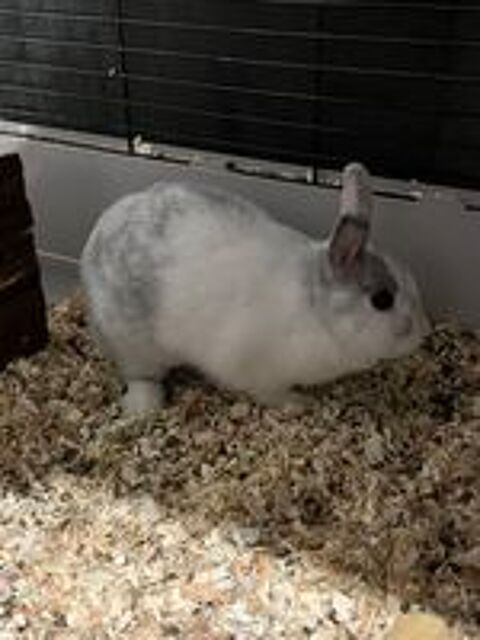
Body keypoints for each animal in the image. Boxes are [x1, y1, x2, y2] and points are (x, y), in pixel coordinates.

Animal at [80, 163, 430, 415]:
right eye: (382, 300)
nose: (424, 332)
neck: (315, 309)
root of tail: (92, 243)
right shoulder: (257, 372)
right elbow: (270, 393)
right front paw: (299, 404)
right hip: (135, 346)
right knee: (139, 376)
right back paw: (143, 407)